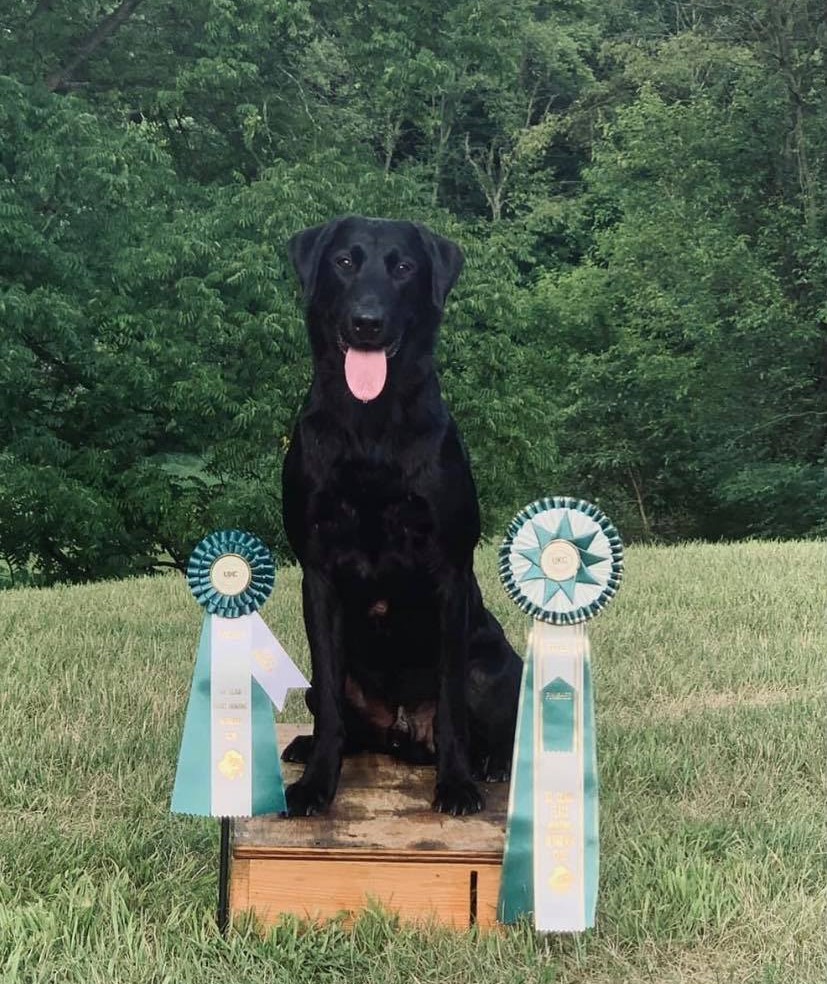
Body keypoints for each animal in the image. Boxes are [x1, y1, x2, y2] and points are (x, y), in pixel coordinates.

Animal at [282, 215, 520, 816]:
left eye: (404, 267)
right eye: (344, 261)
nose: (367, 322)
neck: (371, 428)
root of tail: (403, 730)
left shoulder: (449, 572)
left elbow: (454, 708)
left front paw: (457, 785)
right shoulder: (318, 572)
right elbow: (332, 714)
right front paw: (317, 784)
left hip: (496, 666)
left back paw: (488, 766)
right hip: (324, 684)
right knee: (340, 718)